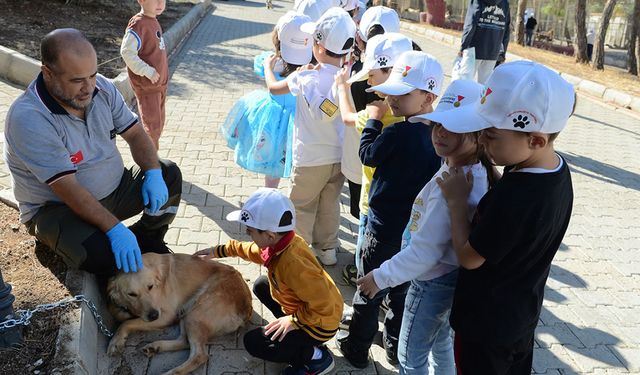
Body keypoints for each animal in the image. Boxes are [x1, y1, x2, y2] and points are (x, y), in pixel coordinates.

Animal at [107, 253, 252, 375]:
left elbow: (126, 323)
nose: (154, 316)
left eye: (150, 286)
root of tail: (246, 306)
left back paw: (171, 372)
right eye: (131, 294)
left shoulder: (166, 316)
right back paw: (155, 347)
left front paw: (115, 341)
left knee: (199, 355)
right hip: (187, 311)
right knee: (184, 341)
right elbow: (118, 314)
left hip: (196, 313)